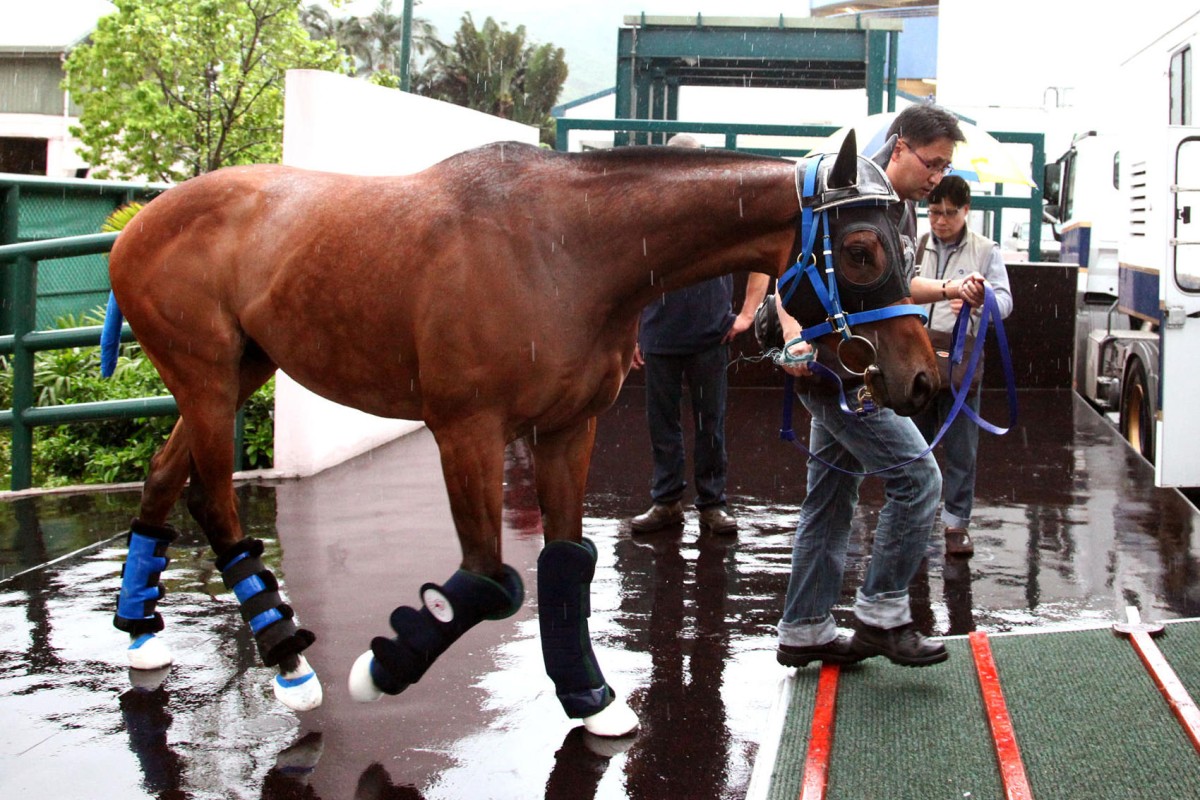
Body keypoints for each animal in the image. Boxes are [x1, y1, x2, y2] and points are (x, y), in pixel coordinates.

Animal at [105, 131, 936, 738]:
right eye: (862, 250)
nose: (922, 379)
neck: (568, 251)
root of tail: (137, 223)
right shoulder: (467, 431)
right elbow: (489, 581)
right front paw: (382, 670)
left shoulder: (569, 427)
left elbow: (567, 562)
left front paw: (591, 699)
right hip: (207, 379)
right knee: (215, 504)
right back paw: (288, 662)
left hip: (238, 370)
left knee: (161, 478)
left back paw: (141, 634)